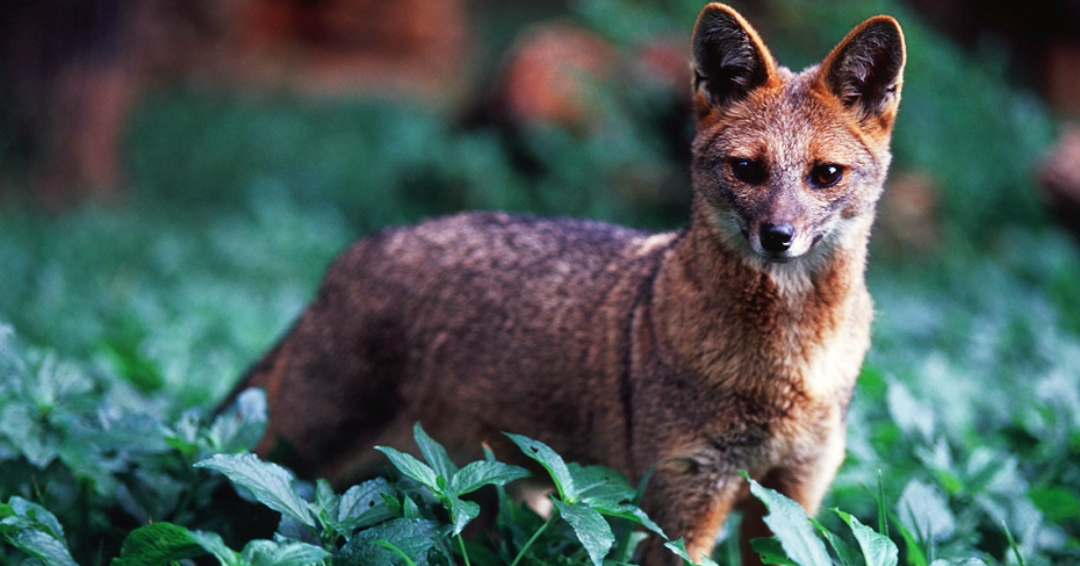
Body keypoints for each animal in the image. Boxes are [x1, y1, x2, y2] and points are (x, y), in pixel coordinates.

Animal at [221, 4, 905, 565]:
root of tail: (358, 248)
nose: (778, 236)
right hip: (297, 454)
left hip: (510, 491)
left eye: (825, 175)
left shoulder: (790, 503)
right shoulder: (681, 505)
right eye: (747, 169)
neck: (785, 369)